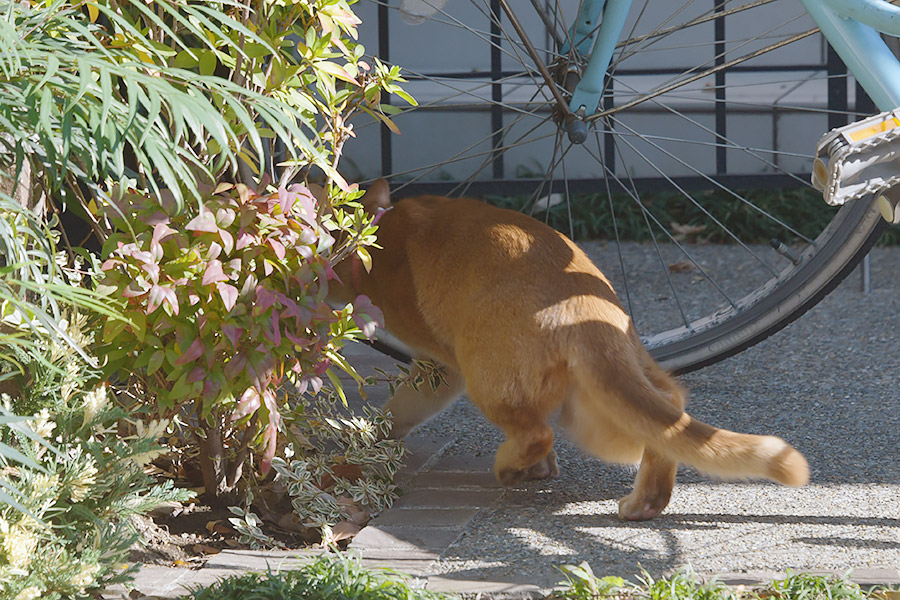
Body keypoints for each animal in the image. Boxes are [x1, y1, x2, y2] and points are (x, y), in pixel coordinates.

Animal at [330, 179, 808, 520]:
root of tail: (588, 312)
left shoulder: (439, 365)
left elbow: (400, 409)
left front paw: (364, 443)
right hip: (602, 408)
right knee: (667, 409)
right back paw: (642, 502)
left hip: (489, 374)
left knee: (536, 432)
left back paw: (513, 467)